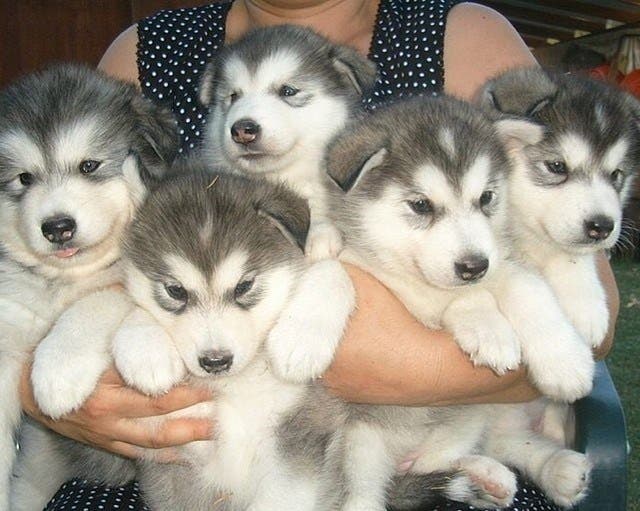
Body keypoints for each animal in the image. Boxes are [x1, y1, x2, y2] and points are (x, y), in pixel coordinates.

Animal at [0, 63, 178, 510]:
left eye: (89, 166)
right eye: (24, 178)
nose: (57, 227)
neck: (67, 279)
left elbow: (97, 302)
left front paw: (58, 370)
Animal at [322, 95, 595, 509]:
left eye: (486, 198)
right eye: (421, 205)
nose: (473, 266)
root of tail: (405, 458)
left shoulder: (501, 262)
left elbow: (526, 288)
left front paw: (565, 362)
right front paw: (490, 330)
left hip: (470, 419)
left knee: (485, 448)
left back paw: (515, 474)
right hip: (359, 446)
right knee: (366, 494)